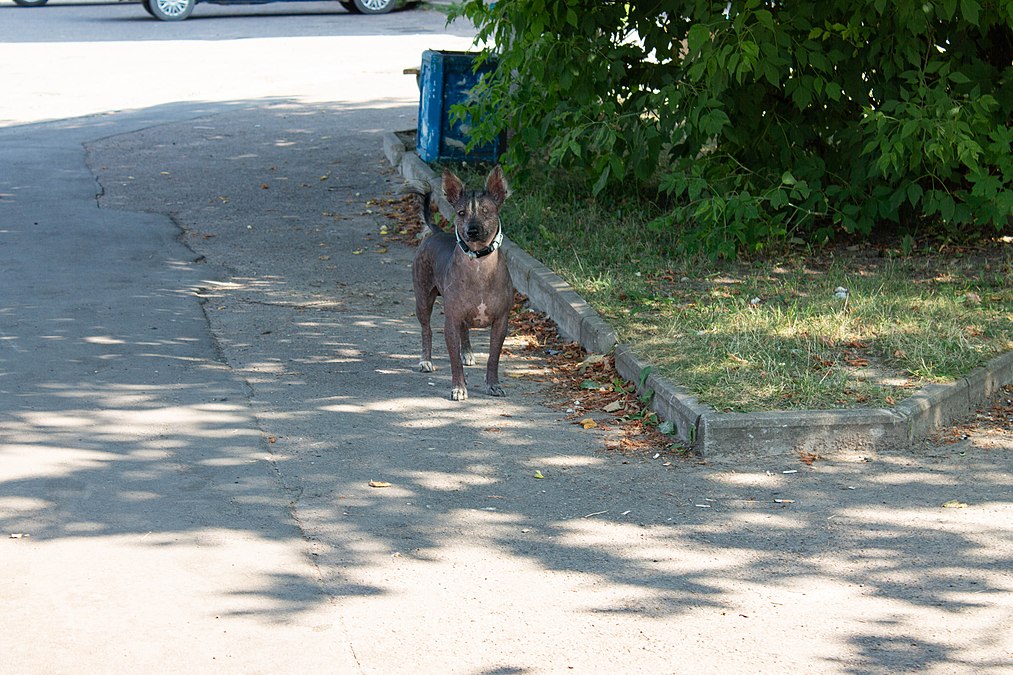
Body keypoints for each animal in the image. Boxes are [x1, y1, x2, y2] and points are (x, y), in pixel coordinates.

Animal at [409, 165, 514, 399]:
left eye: (486, 211)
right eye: (461, 213)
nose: (472, 230)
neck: (479, 264)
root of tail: (437, 232)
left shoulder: (501, 323)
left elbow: (493, 358)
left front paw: (493, 384)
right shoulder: (451, 321)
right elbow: (454, 360)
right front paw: (458, 387)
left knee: (465, 332)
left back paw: (467, 352)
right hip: (423, 299)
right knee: (426, 330)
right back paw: (425, 360)